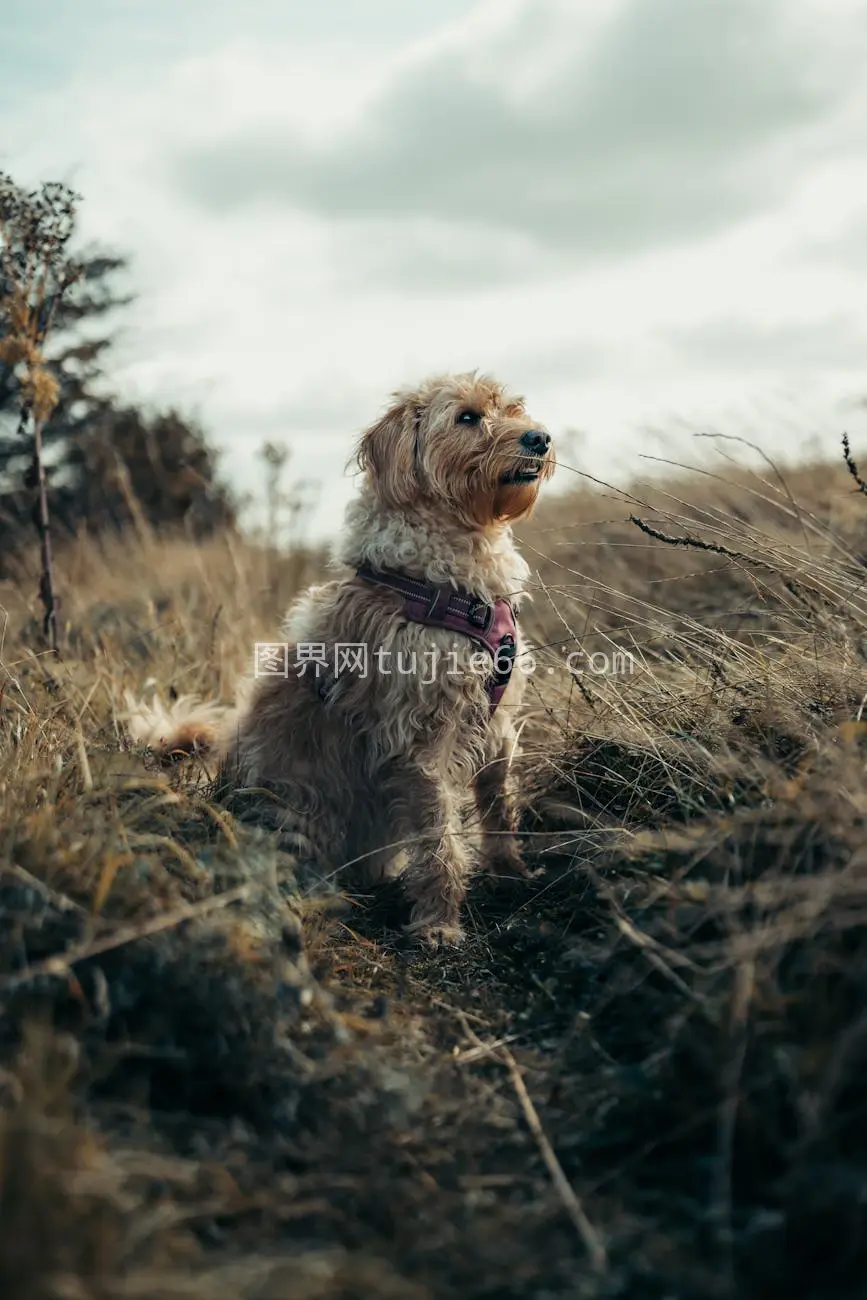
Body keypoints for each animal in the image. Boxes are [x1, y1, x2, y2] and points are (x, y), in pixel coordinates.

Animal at [128, 374, 556, 946]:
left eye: (513, 409)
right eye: (467, 417)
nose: (540, 438)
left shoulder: (498, 725)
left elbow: (499, 805)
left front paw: (511, 873)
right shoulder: (422, 742)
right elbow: (439, 838)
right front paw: (439, 924)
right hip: (301, 810)